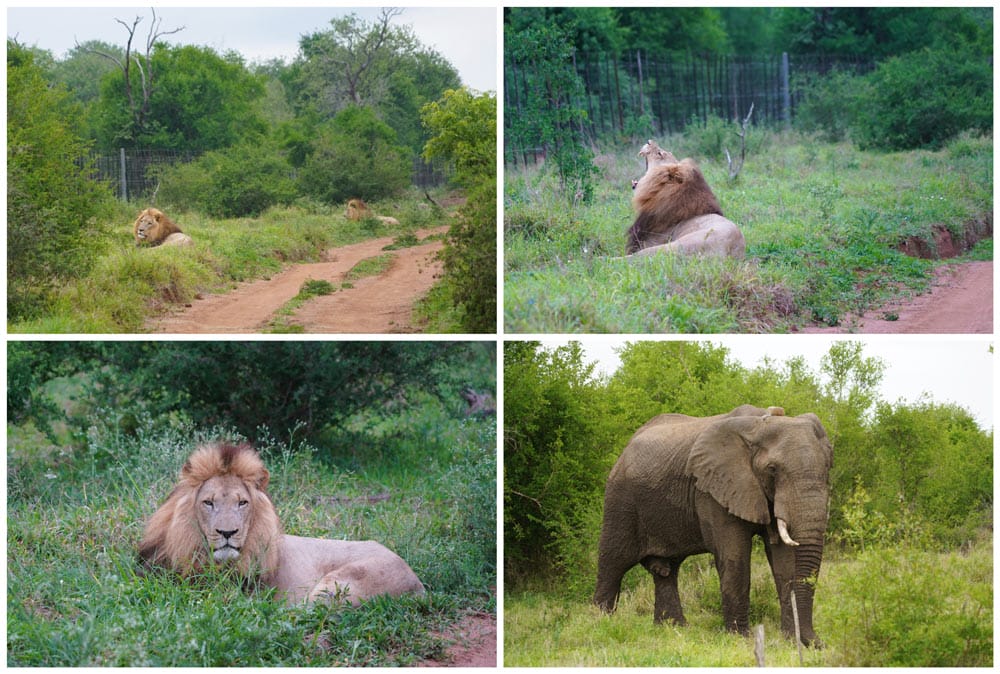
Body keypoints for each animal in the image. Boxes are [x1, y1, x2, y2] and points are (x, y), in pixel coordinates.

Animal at [592, 402, 836, 644]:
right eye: (772, 469)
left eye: (828, 467)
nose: (817, 643)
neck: (759, 425)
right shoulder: (713, 489)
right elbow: (735, 556)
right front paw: (741, 639)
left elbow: (784, 562)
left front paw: (793, 641)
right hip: (620, 500)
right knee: (613, 562)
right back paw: (600, 624)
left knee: (667, 570)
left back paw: (673, 629)